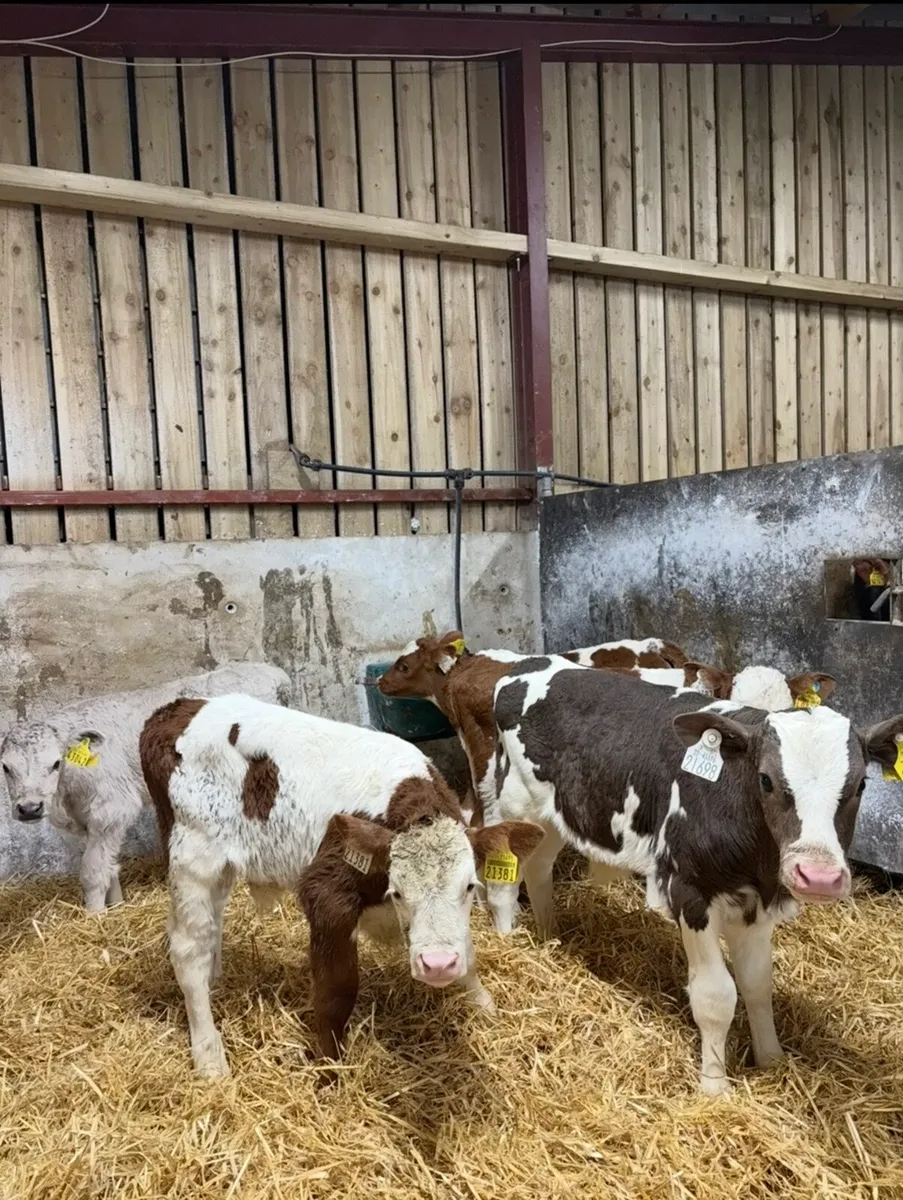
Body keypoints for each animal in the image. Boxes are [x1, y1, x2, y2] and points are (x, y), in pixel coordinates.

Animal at [1, 662, 292, 911]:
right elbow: (108, 865)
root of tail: (272, 673)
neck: (67, 798)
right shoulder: (82, 823)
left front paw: (95, 916)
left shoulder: (112, 809)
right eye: (5, 767)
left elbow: (93, 870)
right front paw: (116, 906)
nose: (29, 808)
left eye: (55, 763)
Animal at [139, 692, 543, 1077]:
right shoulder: (326, 892)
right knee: (188, 947)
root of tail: (175, 709)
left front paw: (484, 1005)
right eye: (397, 892)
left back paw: (216, 981)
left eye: (470, 887)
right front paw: (329, 1066)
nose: (438, 965)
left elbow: (468, 952)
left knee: (211, 928)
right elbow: (337, 990)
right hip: (193, 855)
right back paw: (209, 1056)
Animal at [484, 656, 903, 1095]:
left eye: (861, 784)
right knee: (504, 878)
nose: (818, 875)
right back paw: (508, 939)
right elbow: (715, 996)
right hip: (515, 803)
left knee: (539, 867)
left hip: (554, 816)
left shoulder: (757, 903)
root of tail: (529, 663)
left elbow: (757, 983)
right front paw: (715, 1087)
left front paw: (772, 1060)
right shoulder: (690, 891)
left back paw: (549, 935)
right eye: (766, 779)